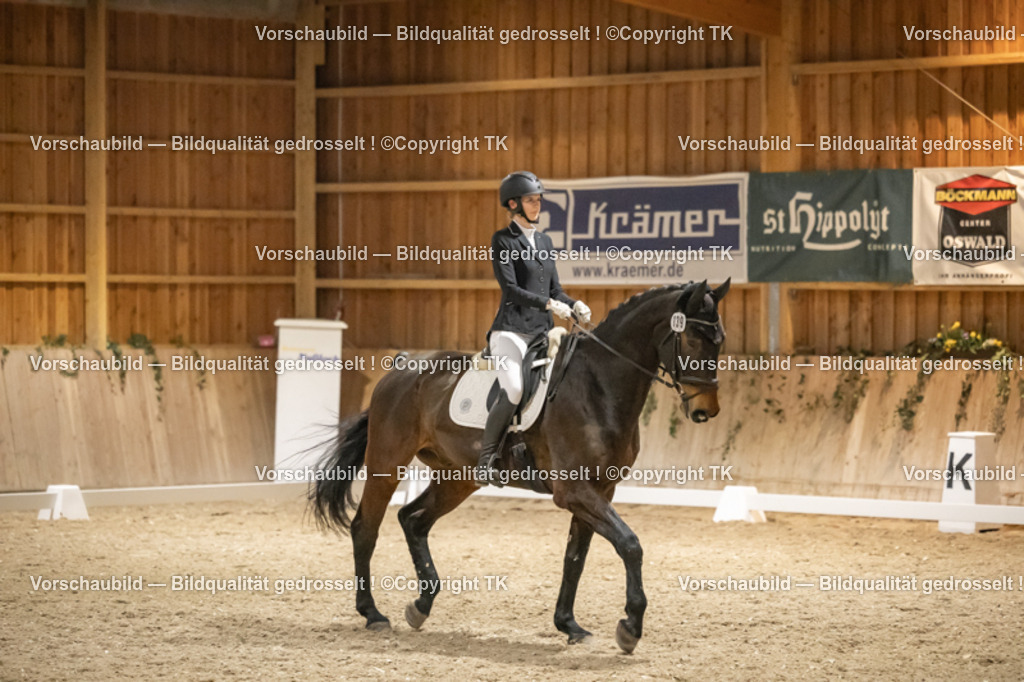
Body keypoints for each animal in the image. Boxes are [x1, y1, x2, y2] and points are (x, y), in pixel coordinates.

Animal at [309, 279, 730, 653]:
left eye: (720, 342)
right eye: (694, 340)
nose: (706, 411)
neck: (598, 385)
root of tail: (402, 365)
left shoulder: (599, 490)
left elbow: (575, 558)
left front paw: (570, 625)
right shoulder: (574, 491)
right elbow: (630, 545)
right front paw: (630, 627)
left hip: (458, 477)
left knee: (413, 519)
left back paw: (421, 605)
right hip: (387, 463)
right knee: (366, 527)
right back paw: (373, 614)